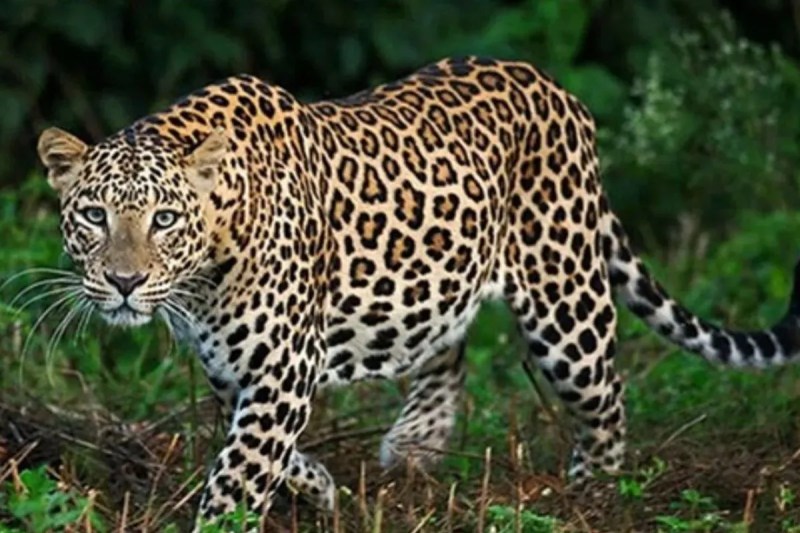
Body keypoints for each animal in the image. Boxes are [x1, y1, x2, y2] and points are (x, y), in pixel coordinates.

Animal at [36, 56, 800, 525]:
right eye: (94, 215)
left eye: (163, 218)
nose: (125, 282)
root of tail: (556, 89)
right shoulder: (232, 368)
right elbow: (262, 453)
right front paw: (320, 487)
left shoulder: (281, 369)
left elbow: (238, 474)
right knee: (447, 345)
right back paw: (416, 444)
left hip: (565, 302)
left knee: (607, 396)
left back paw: (597, 493)